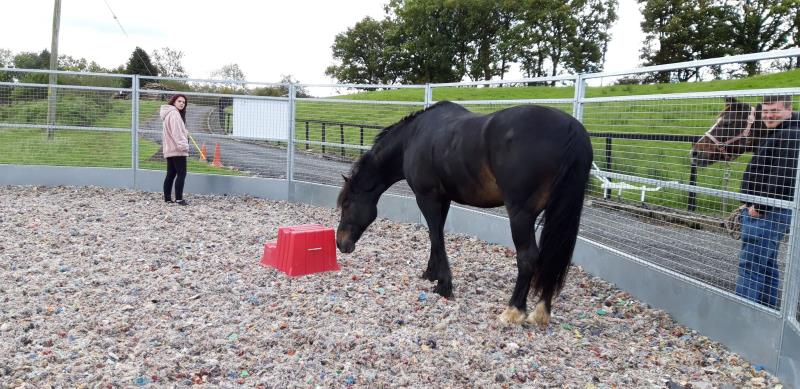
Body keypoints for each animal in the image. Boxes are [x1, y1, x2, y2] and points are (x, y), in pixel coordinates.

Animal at [334, 101, 592, 326]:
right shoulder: (443, 199)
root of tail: (572, 128)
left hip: (521, 215)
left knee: (528, 258)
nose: (340, 243)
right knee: (552, 257)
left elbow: (436, 236)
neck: (412, 139)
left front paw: (444, 286)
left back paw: (513, 311)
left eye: (346, 205)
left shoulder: (426, 198)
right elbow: (435, 235)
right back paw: (541, 312)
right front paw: (431, 274)